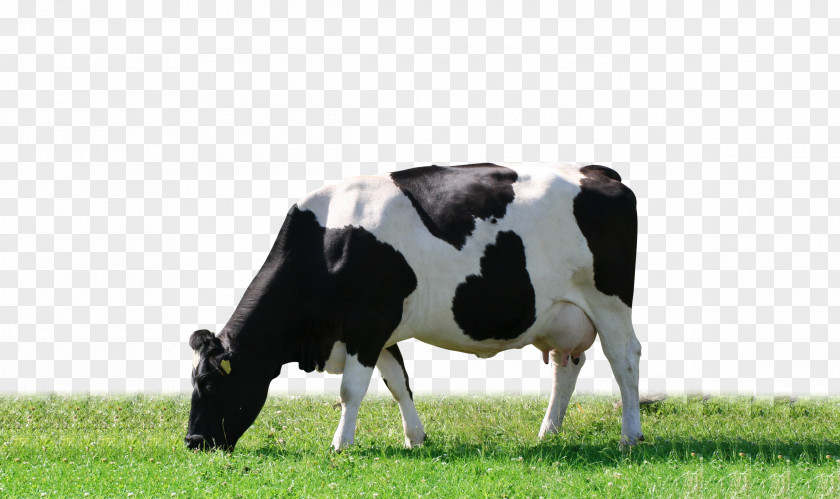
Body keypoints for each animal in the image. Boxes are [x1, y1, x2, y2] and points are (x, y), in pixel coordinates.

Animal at [185, 164, 644, 454]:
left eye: (208, 384)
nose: (191, 443)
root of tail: (599, 173)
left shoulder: (368, 324)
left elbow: (352, 390)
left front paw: (341, 444)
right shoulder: (381, 331)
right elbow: (398, 383)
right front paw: (416, 437)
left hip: (609, 302)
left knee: (625, 359)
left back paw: (631, 435)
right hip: (566, 315)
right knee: (567, 368)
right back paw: (548, 432)